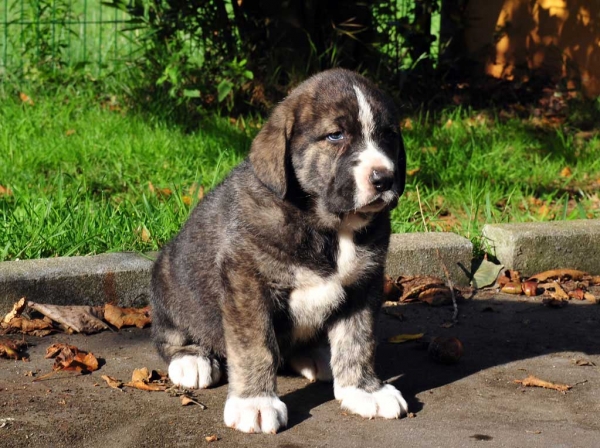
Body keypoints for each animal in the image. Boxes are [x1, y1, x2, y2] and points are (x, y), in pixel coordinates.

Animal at [152, 69, 410, 434]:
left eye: (389, 136)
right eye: (335, 135)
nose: (384, 178)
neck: (325, 226)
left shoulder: (365, 283)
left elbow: (358, 340)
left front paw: (364, 390)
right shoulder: (246, 283)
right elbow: (255, 346)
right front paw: (255, 402)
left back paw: (317, 356)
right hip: (167, 277)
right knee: (168, 333)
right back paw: (191, 359)